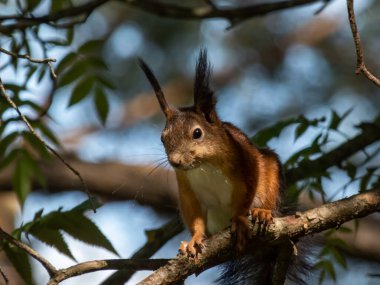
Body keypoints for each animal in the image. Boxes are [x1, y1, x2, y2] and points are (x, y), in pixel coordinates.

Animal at [138, 50, 280, 255]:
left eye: (197, 133)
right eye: (162, 138)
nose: (175, 161)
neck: (204, 164)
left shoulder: (245, 160)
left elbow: (246, 194)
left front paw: (239, 219)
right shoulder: (186, 187)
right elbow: (195, 217)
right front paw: (195, 239)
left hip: (270, 172)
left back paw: (263, 212)